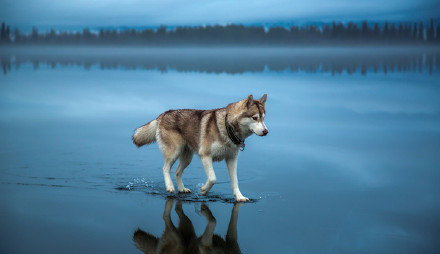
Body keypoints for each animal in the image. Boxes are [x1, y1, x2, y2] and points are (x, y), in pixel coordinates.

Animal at [131, 94, 268, 201]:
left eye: (263, 118)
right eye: (255, 118)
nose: (266, 131)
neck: (227, 127)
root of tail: (164, 113)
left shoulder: (232, 159)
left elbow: (235, 181)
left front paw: (239, 197)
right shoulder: (205, 156)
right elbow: (213, 178)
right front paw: (203, 190)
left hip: (187, 158)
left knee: (177, 172)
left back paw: (182, 189)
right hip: (174, 152)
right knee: (165, 168)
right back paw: (170, 187)